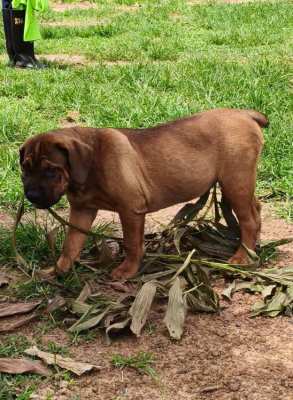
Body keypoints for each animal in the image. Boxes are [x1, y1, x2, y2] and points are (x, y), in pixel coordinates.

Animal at [20, 108, 266, 280]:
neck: (91, 165)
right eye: (25, 168)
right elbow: (71, 244)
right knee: (256, 209)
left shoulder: (130, 209)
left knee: (249, 220)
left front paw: (127, 270)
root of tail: (245, 114)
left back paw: (243, 256)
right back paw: (253, 247)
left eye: (51, 170)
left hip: (235, 181)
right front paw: (58, 269)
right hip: (240, 184)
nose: (31, 194)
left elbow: (131, 243)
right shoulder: (82, 210)